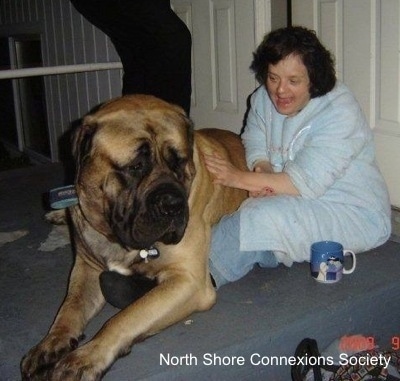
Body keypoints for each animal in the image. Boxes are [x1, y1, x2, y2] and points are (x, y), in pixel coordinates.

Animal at [21, 94, 248, 378]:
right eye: (136, 167)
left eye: (180, 162)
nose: (173, 204)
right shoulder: (86, 268)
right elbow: (69, 308)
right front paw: (49, 343)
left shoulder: (189, 281)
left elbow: (125, 317)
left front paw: (85, 357)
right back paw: (57, 214)